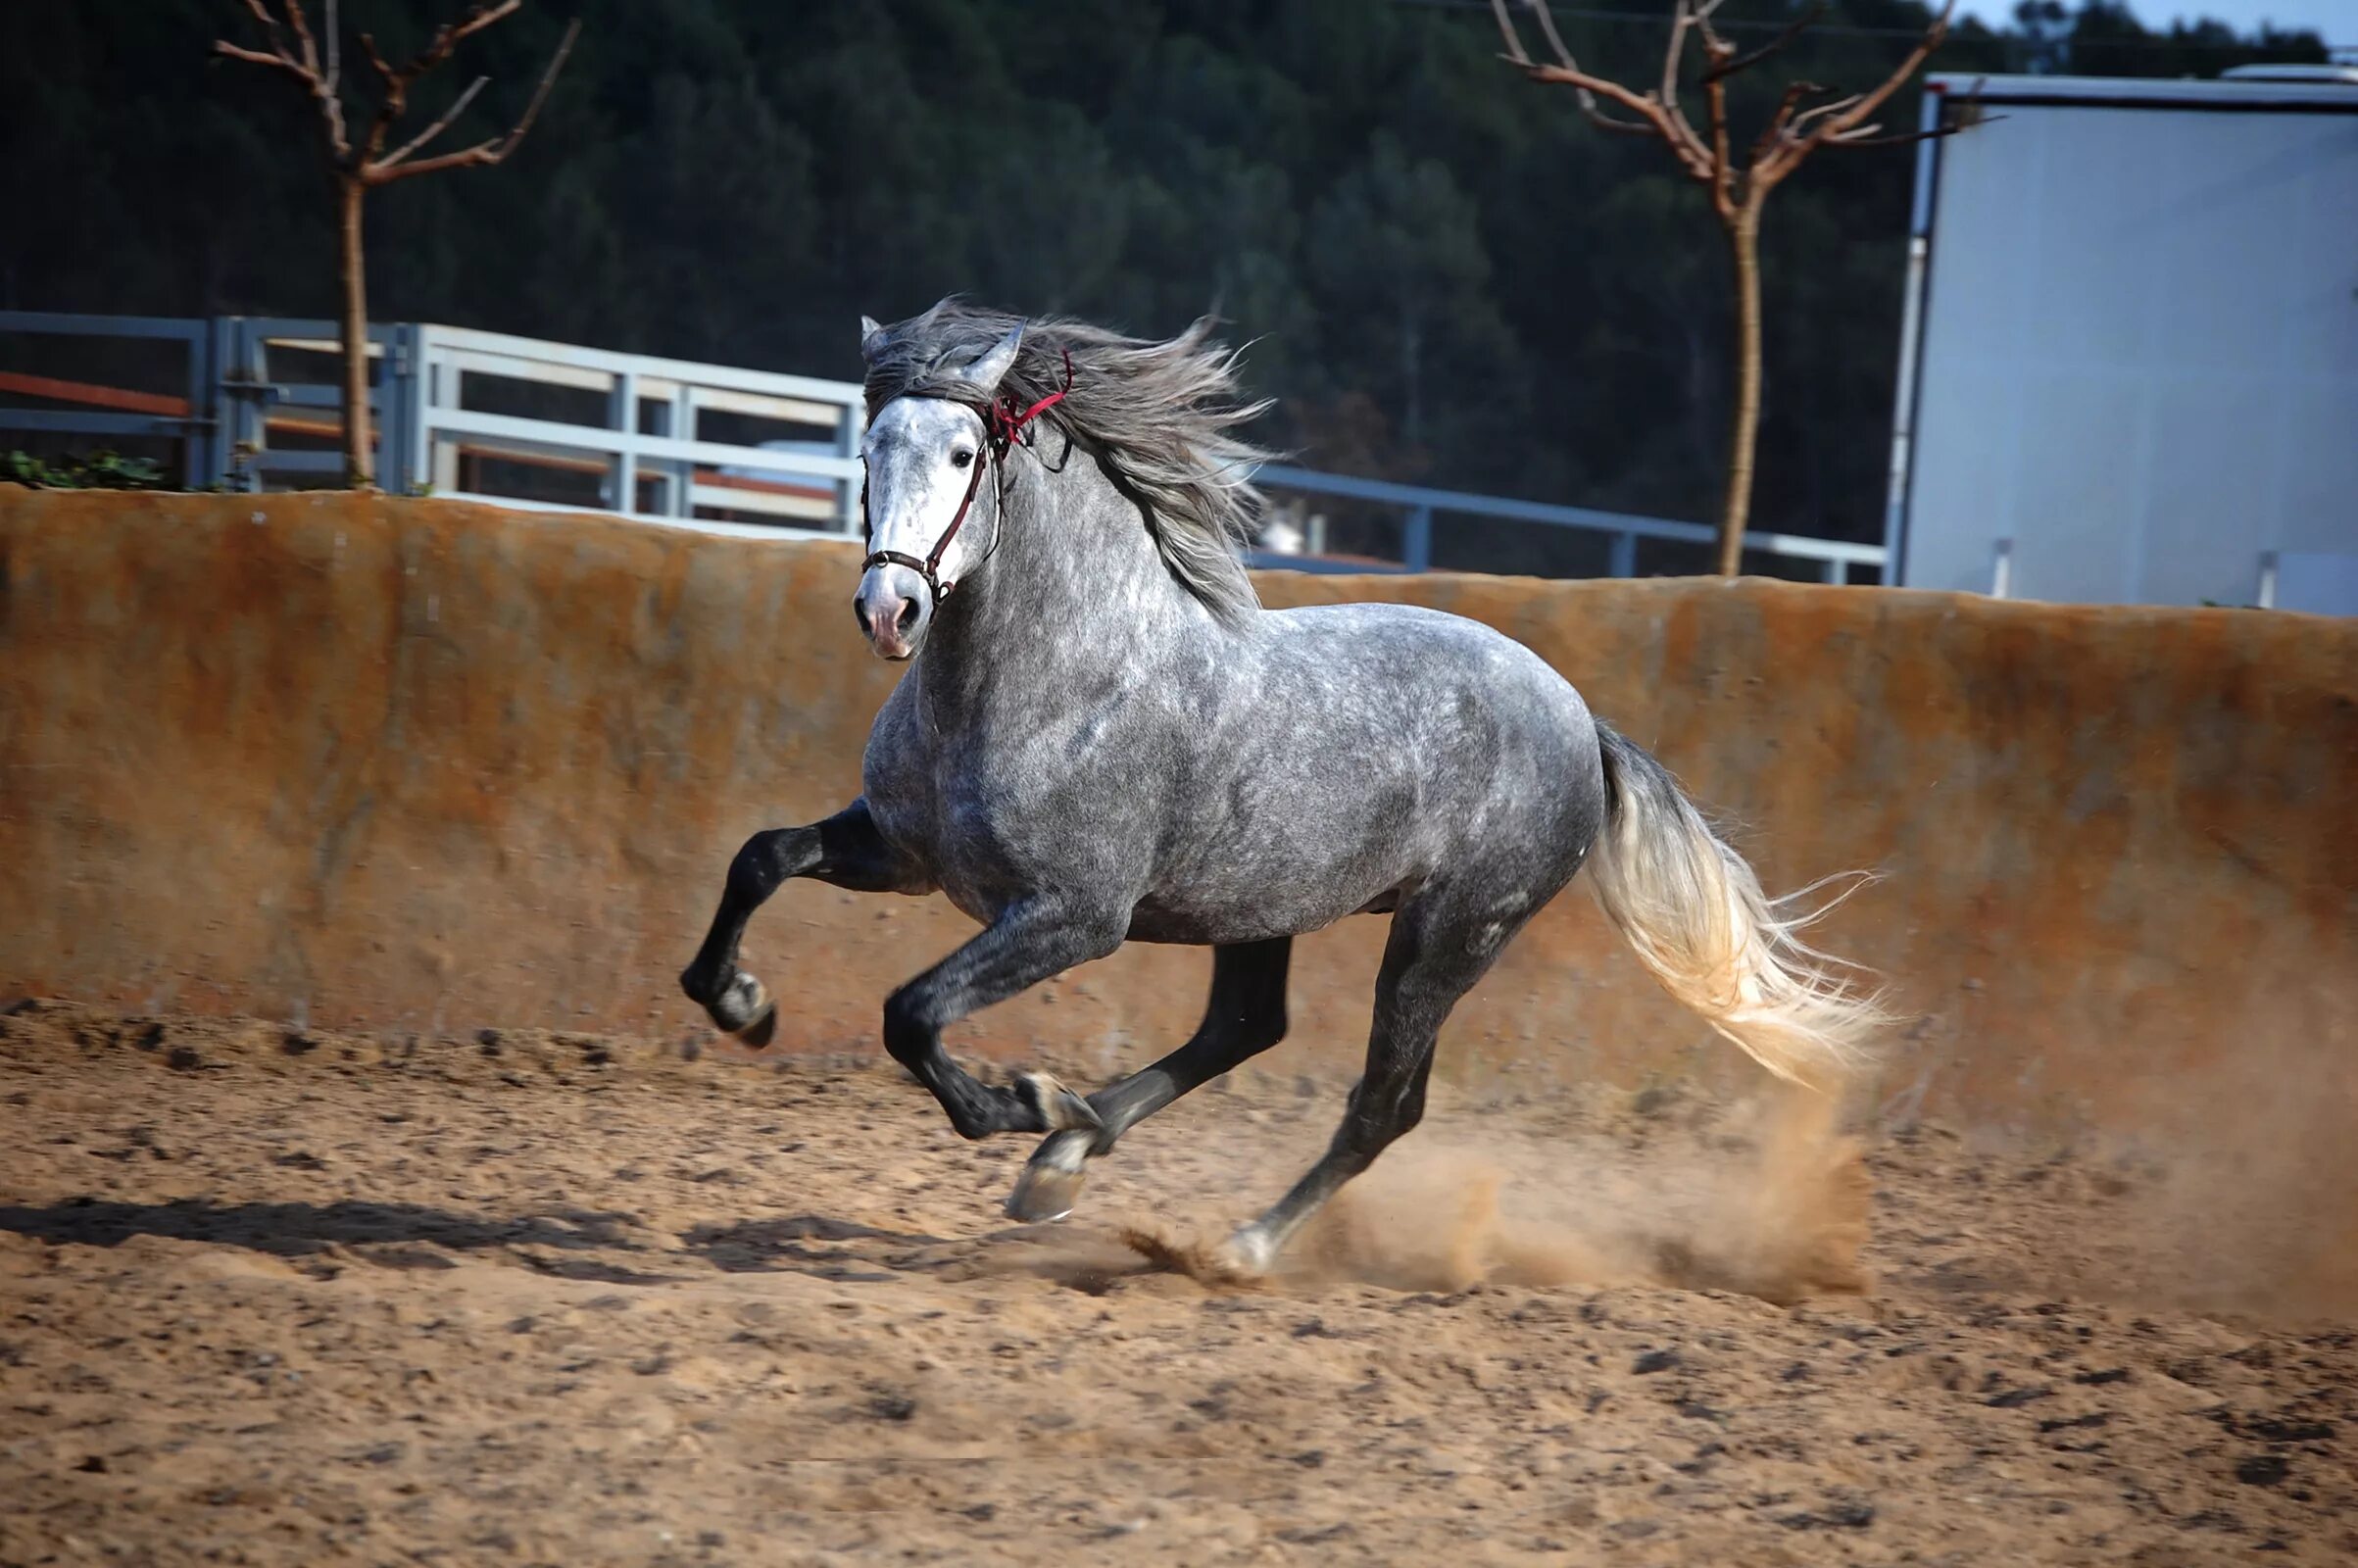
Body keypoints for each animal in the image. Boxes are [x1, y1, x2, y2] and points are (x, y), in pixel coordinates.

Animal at [678, 299, 1877, 1282]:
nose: (890, 612)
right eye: (871, 446)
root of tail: (1582, 723)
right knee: (1244, 1030)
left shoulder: (1072, 917)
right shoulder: (904, 853)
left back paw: (1231, 1243)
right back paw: (1065, 1161)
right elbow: (761, 857)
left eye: (966, 449)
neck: (1056, 679)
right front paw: (741, 1002)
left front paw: (1016, 1102)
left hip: (1447, 937)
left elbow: (911, 1011)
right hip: (1259, 908)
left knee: (1383, 1102)